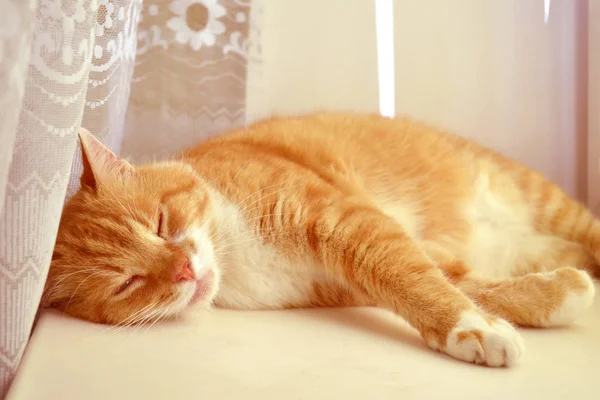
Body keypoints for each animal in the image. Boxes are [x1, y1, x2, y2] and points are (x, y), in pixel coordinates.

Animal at [41, 111, 596, 366]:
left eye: (159, 221)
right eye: (127, 283)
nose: (182, 269)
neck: (235, 252)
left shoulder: (346, 220)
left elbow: (412, 278)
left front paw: (474, 328)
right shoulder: (350, 279)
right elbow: (456, 282)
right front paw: (555, 297)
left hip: (547, 201)